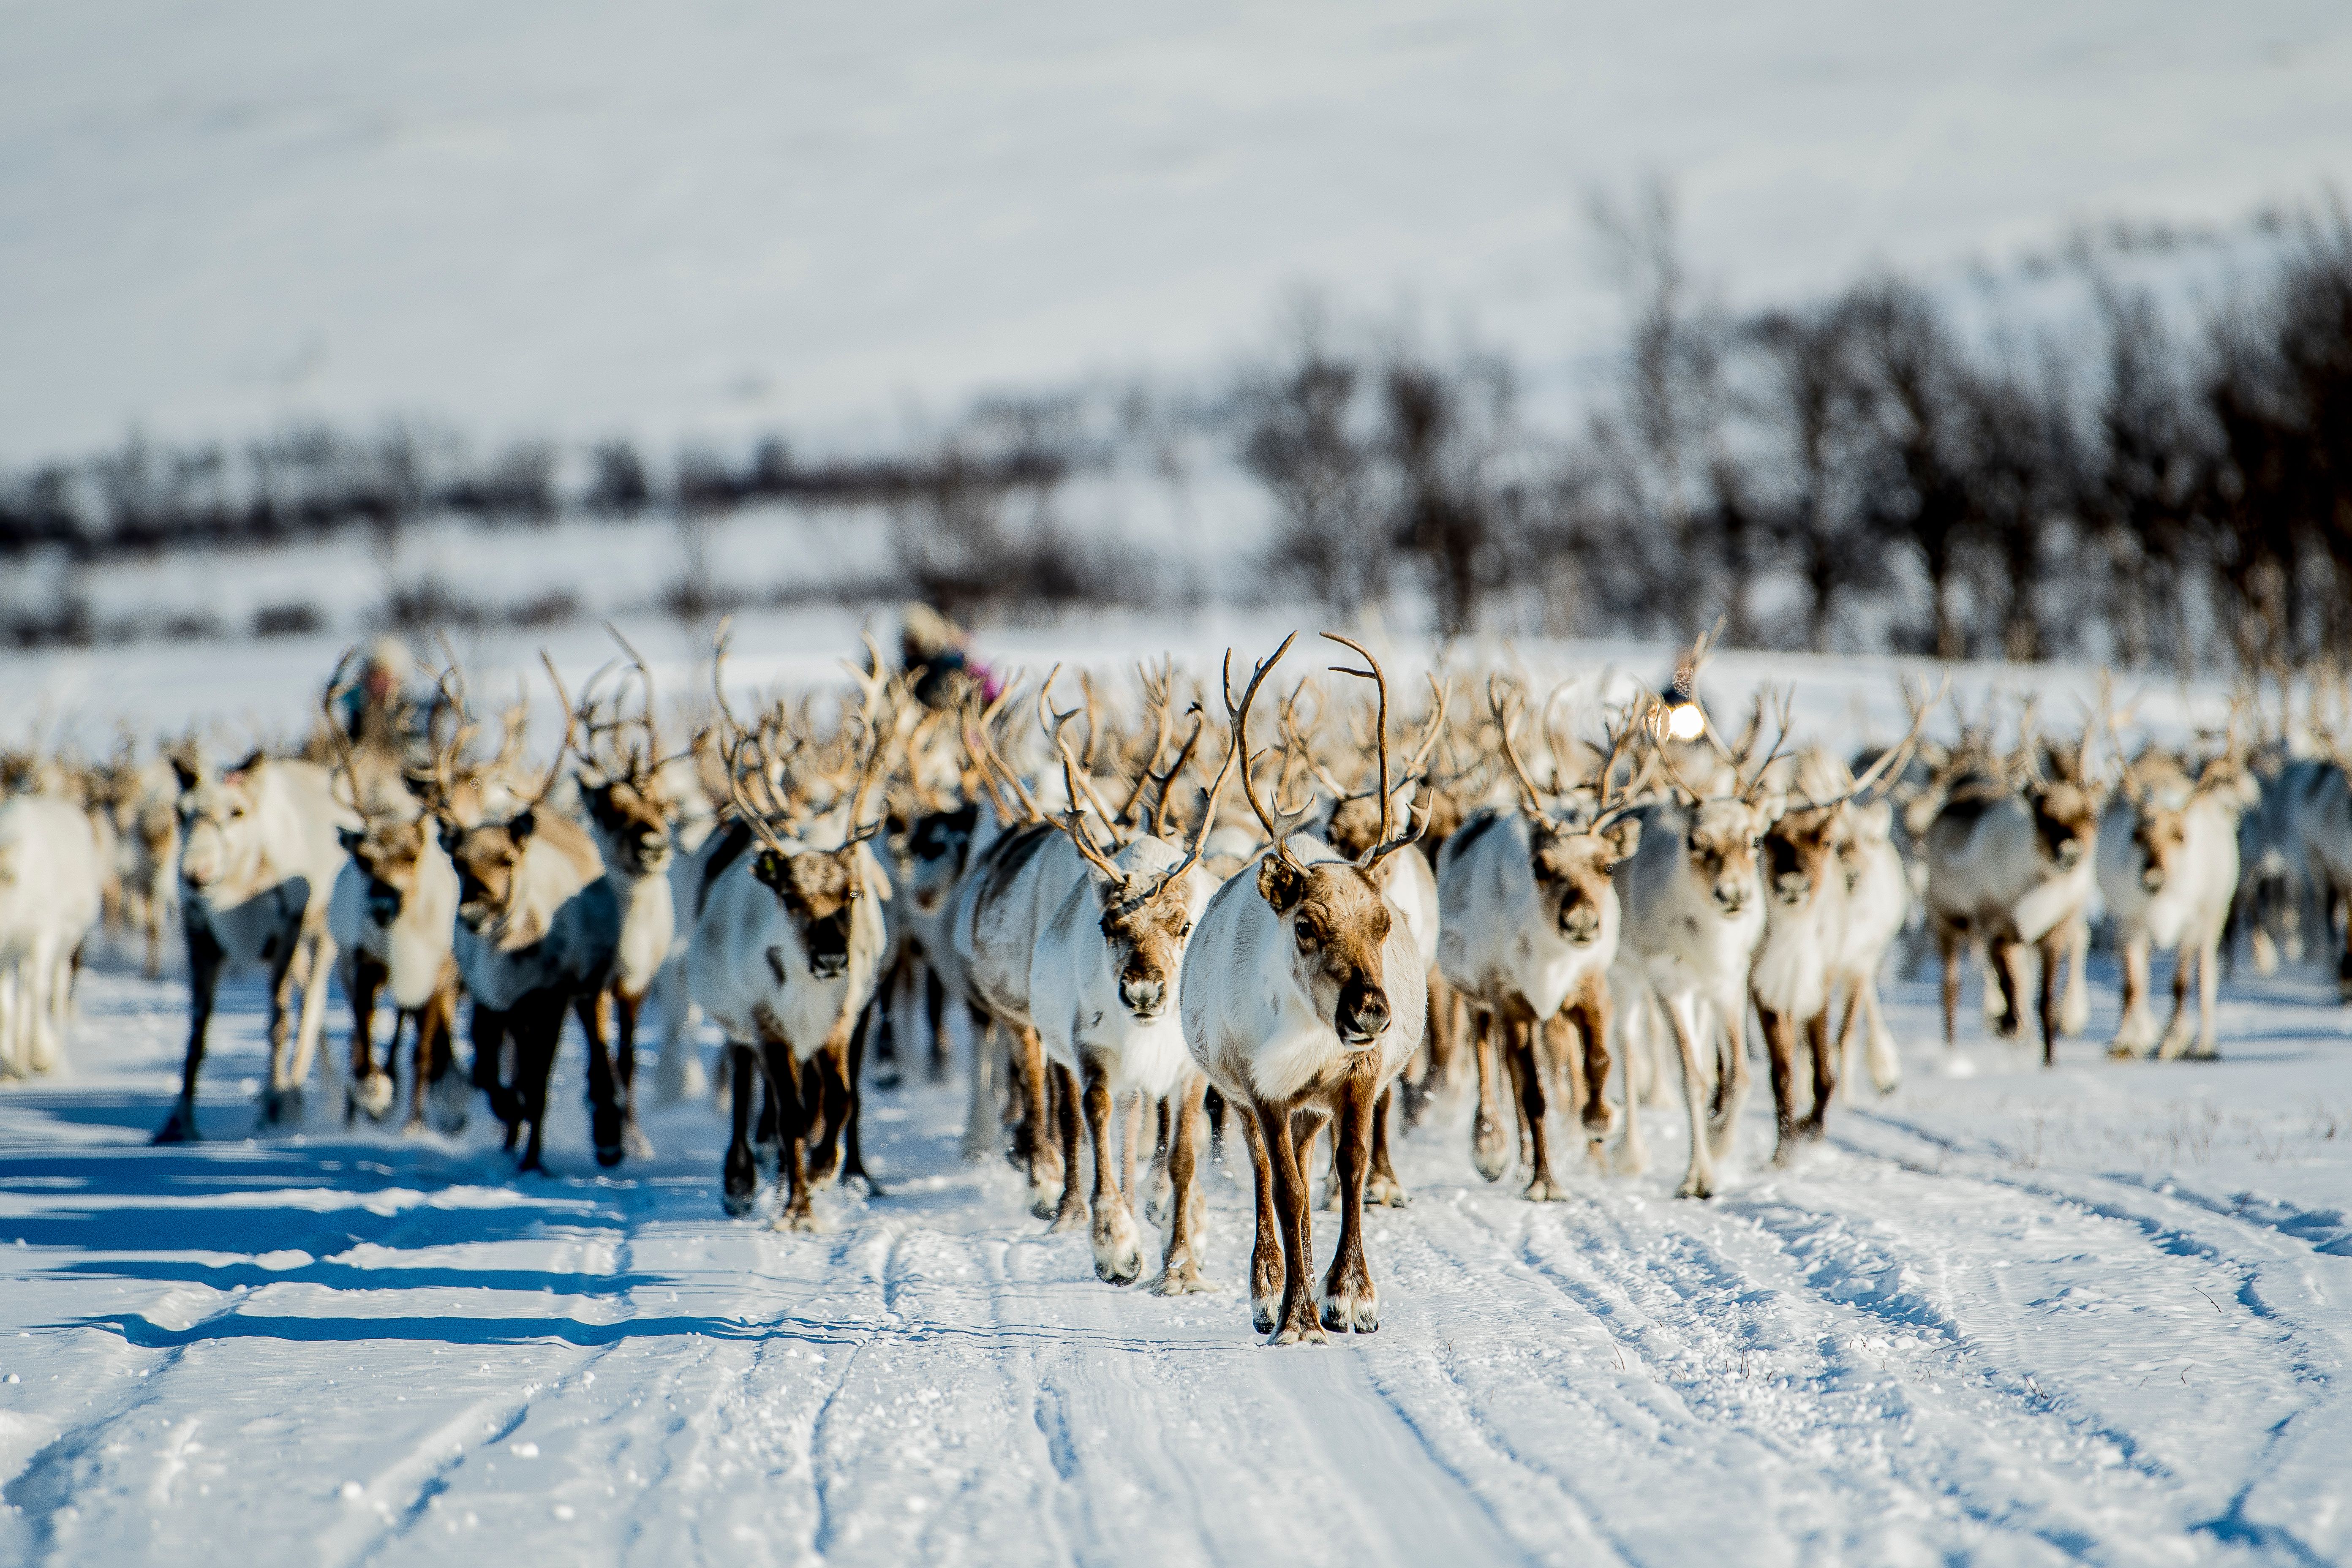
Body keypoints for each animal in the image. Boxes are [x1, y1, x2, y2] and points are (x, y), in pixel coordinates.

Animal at [157, 746, 358, 1142]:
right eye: (180, 812)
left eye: (237, 811)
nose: (195, 874)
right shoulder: (200, 934)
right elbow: (196, 1032)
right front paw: (178, 1123)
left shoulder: (286, 930)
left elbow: (279, 1024)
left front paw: (274, 1108)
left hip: (322, 939)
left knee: (311, 1009)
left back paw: (292, 1096)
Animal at [432, 657, 624, 1172]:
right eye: (459, 862)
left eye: (507, 860)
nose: (475, 913)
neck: (507, 952)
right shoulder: (489, 997)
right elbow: (485, 1072)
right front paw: (508, 1114)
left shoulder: (549, 996)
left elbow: (538, 1083)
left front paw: (534, 1162)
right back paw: (510, 1135)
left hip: (590, 987)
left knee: (597, 1048)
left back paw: (607, 1138)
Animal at [1180, 633, 1428, 1344]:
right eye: (1307, 925)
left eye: (1382, 923)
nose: (1371, 1011)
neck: (1308, 1036)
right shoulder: (1262, 1087)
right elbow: (1287, 1190)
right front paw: (1295, 1315)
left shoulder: (1358, 1077)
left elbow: (1351, 1167)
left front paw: (1349, 1297)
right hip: (1242, 1094)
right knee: (1268, 1173)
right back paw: (1267, 1290)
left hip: (1314, 1105)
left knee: (1310, 1158)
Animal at [1435, 683, 1644, 1199]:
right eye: (1541, 867)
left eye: (1608, 866)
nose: (1582, 921)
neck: (1550, 964)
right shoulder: (1510, 1000)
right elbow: (1532, 1095)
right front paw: (1545, 1183)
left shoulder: (1590, 987)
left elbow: (1598, 1061)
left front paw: (1601, 1119)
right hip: (1480, 1000)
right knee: (1496, 1069)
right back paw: (1496, 1150)